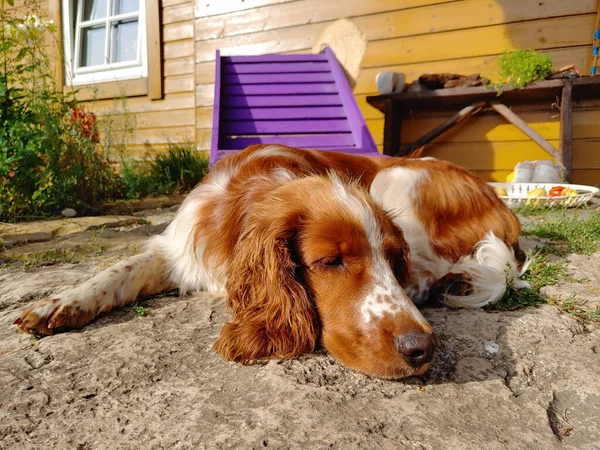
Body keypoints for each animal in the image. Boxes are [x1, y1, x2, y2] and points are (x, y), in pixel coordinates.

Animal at [12, 146, 528, 378]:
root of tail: (501, 203)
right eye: (331, 260)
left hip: (399, 179)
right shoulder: (177, 249)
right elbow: (115, 272)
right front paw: (59, 303)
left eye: (390, 258)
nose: (423, 349)